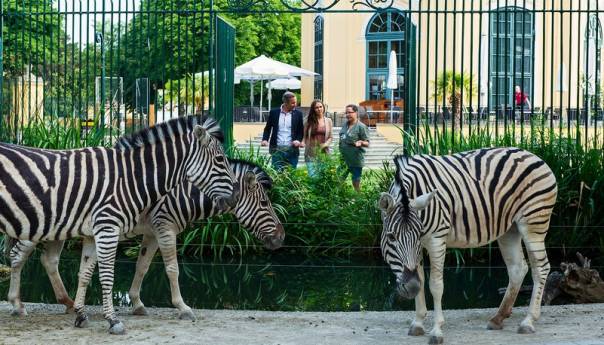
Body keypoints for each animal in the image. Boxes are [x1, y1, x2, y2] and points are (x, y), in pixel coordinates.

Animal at [0, 115, 238, 334]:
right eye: (219, 159)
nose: (234, 198)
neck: (130, 177)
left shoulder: (93, 232)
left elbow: (85, 273)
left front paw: (81, 315)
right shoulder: (109, 227)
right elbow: (108, 275)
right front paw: (113, 320)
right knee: (20, 255)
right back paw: (18, 305)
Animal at [5, 159, 286, 320]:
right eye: (264, 204)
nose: (282, 237)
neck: (182, 193)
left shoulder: (152, 232)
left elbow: (142, 266)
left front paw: (137, 303)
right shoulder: (165, 227)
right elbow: (172, 269)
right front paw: (182, 307)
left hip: (58, 230)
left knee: (49, 260)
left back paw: (68, 302)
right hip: (37, 226)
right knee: (18, 256)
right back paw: (17, 304)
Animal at [378, 147, 556, 344]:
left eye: (417, 236)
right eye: (391, 237)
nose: (411, 288)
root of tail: (531, 154)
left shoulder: (436, 239)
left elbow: (435, 285)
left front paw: (437, 330)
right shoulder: (419, 248)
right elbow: (421, 279)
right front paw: (417, 323)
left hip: (534, 223)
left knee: (540, 268)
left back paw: (528, 321)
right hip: (510, 229)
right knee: (518, 268)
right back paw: (498, 318)